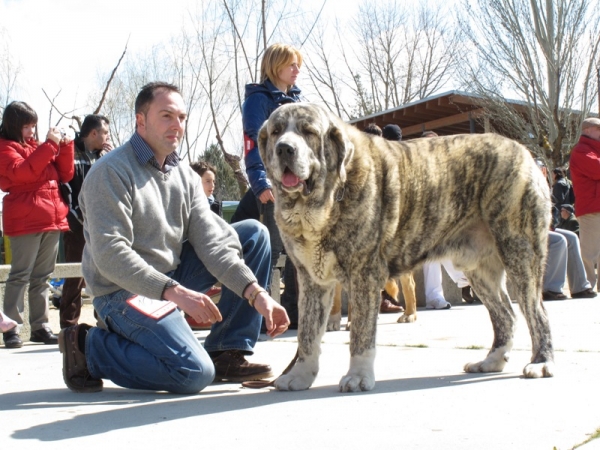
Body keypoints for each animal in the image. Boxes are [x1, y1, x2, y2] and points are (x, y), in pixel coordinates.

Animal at [258, 102, 552, 390]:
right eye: (276, 132)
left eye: (308, 131)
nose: (285, 148)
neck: (326, 200)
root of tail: (522, 150)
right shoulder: (312, 281)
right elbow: (307, 334)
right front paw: (300, 375)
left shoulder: (364, 275)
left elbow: (361, 334)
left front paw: (358, 376)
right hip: (479, 271)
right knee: (506, 315)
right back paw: (492, 361)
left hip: (520, 254)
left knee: (537, 313)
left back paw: (541, 362)